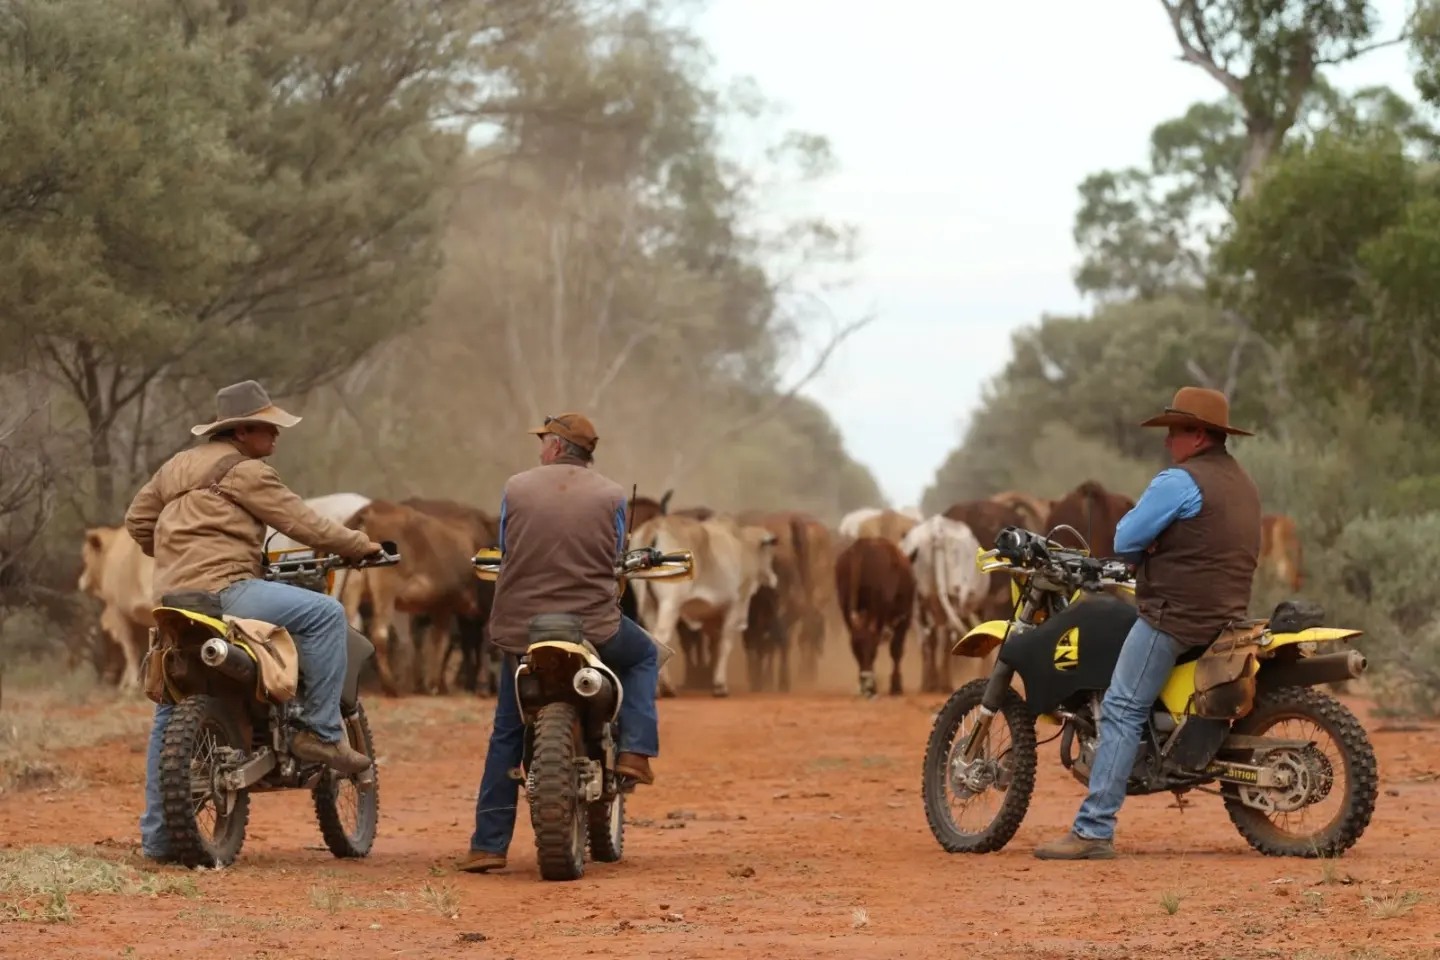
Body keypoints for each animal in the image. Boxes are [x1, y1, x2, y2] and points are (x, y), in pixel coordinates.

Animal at [341, 500, 483, 693]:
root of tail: (370, 511)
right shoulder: (445, 606)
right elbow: (441, 642)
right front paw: (435, 685)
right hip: (385, 589)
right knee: (380, 634)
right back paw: (391, 686)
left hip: (354, 587)